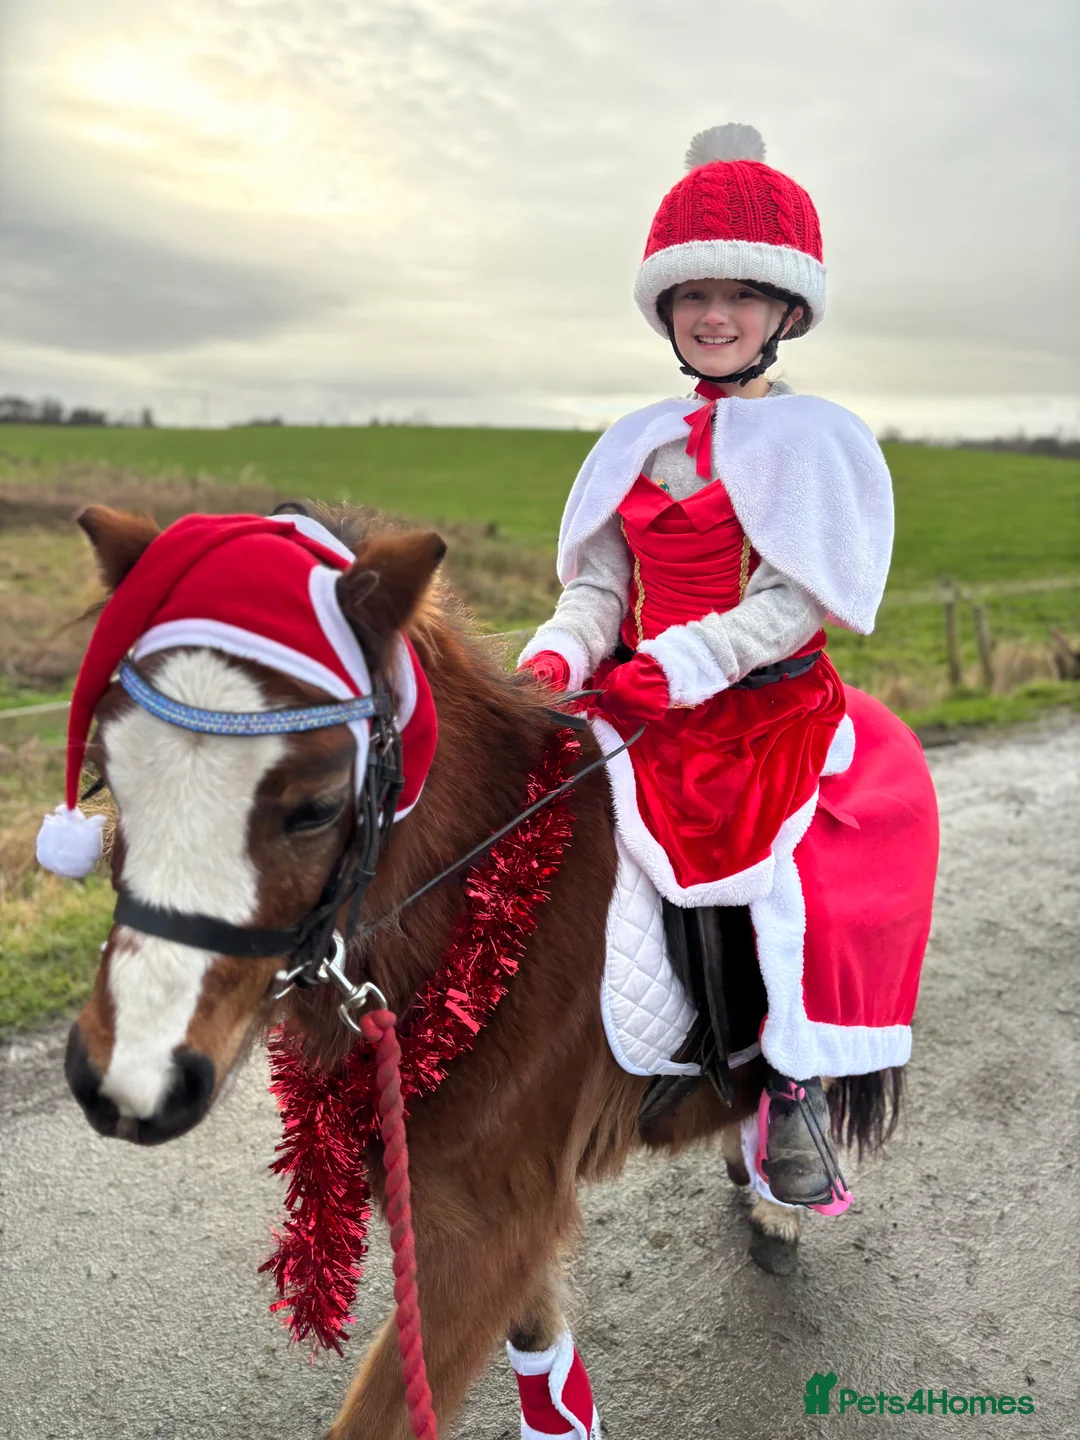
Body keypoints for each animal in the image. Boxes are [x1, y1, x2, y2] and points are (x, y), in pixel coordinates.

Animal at [62, 501, 904, 1439]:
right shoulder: (487, 1216)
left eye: (316, 807)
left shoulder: (487, 1232)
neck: (487, 897)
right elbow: (541, 1353)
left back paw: (780, 1182)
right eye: (107, 778)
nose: (125, 1080)